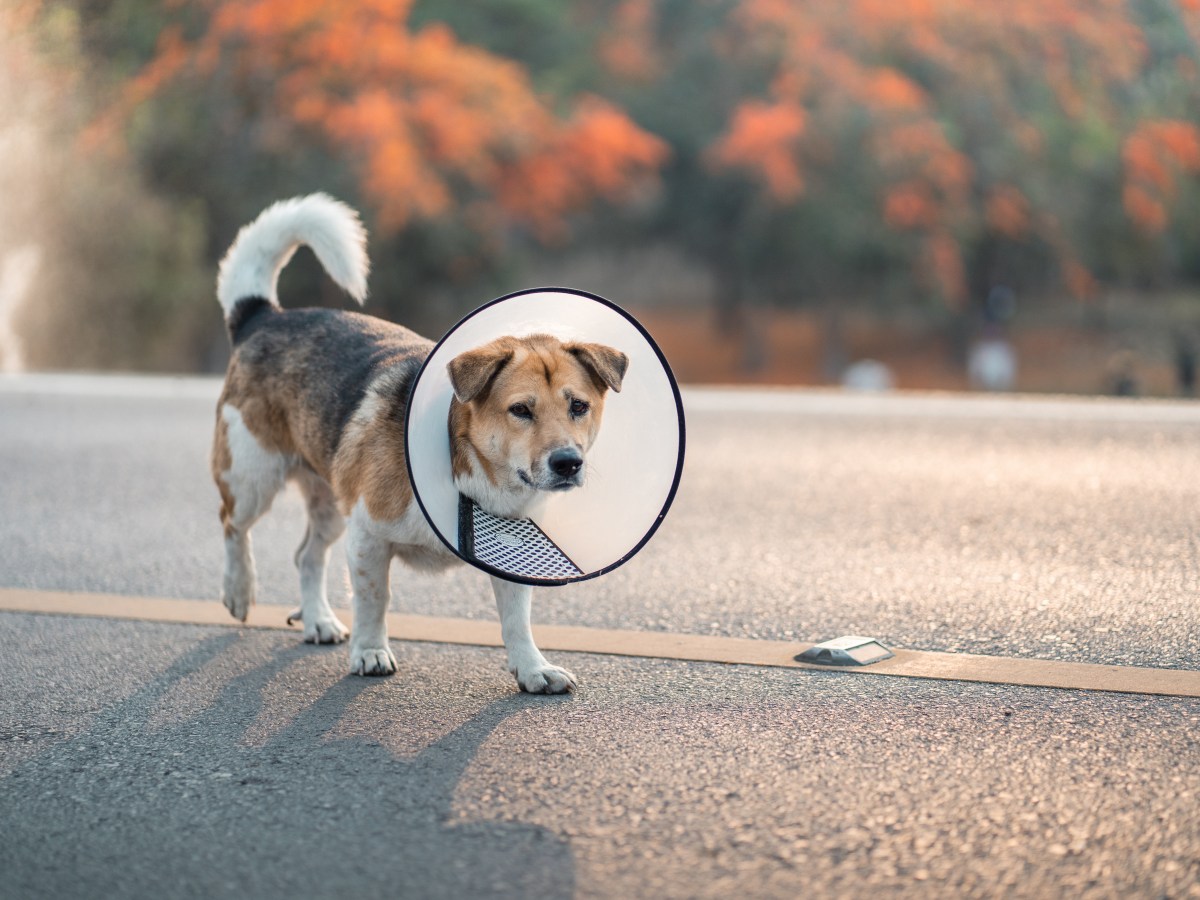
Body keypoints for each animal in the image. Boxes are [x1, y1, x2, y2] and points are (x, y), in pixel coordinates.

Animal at [211, 194, 628, 696]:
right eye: (521, 410)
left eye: (579, 406)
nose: (568, 463)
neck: (465, 470)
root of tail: (264, 315)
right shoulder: (368, 536)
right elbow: (375, 599)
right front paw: (371, 651)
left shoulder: (510, 557)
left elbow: (517, 620)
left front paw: (532, 668)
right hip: (253, 477)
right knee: (233, 527)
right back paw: (239, 590)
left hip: (330, 503)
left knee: (306, 555)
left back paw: (319, 621)